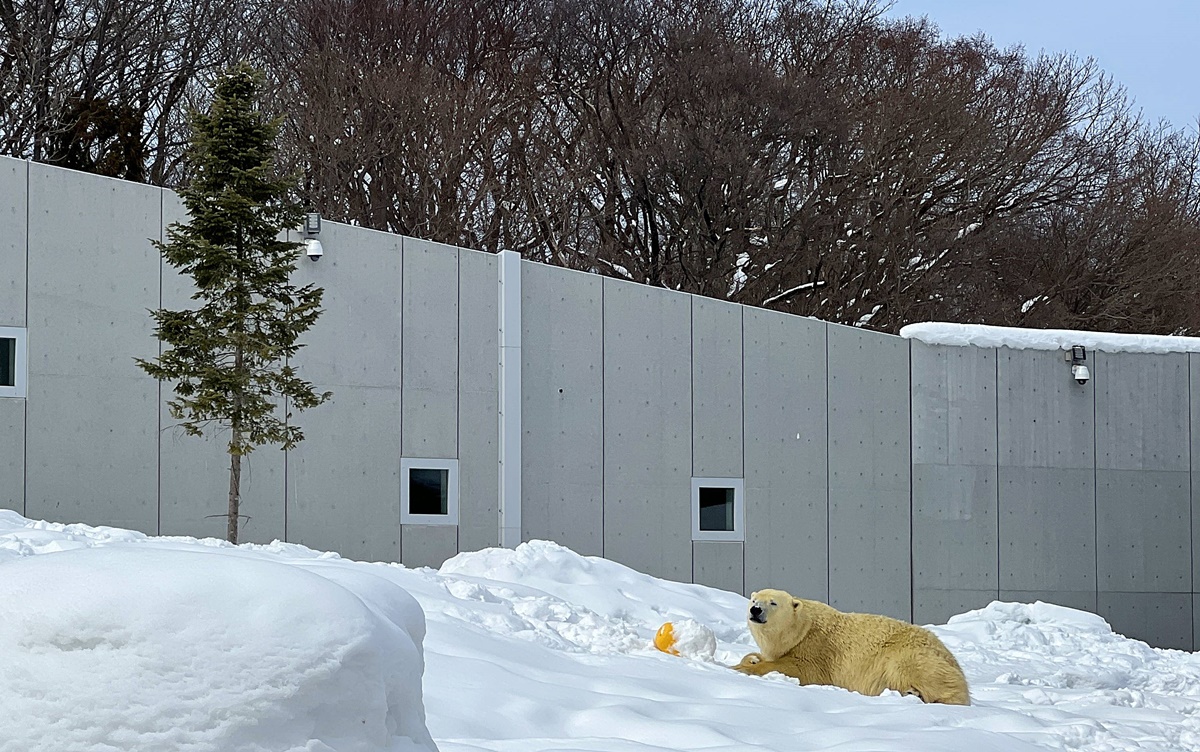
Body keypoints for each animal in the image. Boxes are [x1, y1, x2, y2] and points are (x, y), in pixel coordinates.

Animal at [724, 587, 969, 705]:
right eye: (754, 600)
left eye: (773, 602)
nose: (755, 610)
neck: (801, 629)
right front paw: (751, 658)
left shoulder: (816, 649)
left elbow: (799, 669)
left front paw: (742, 668)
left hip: (910, 654)